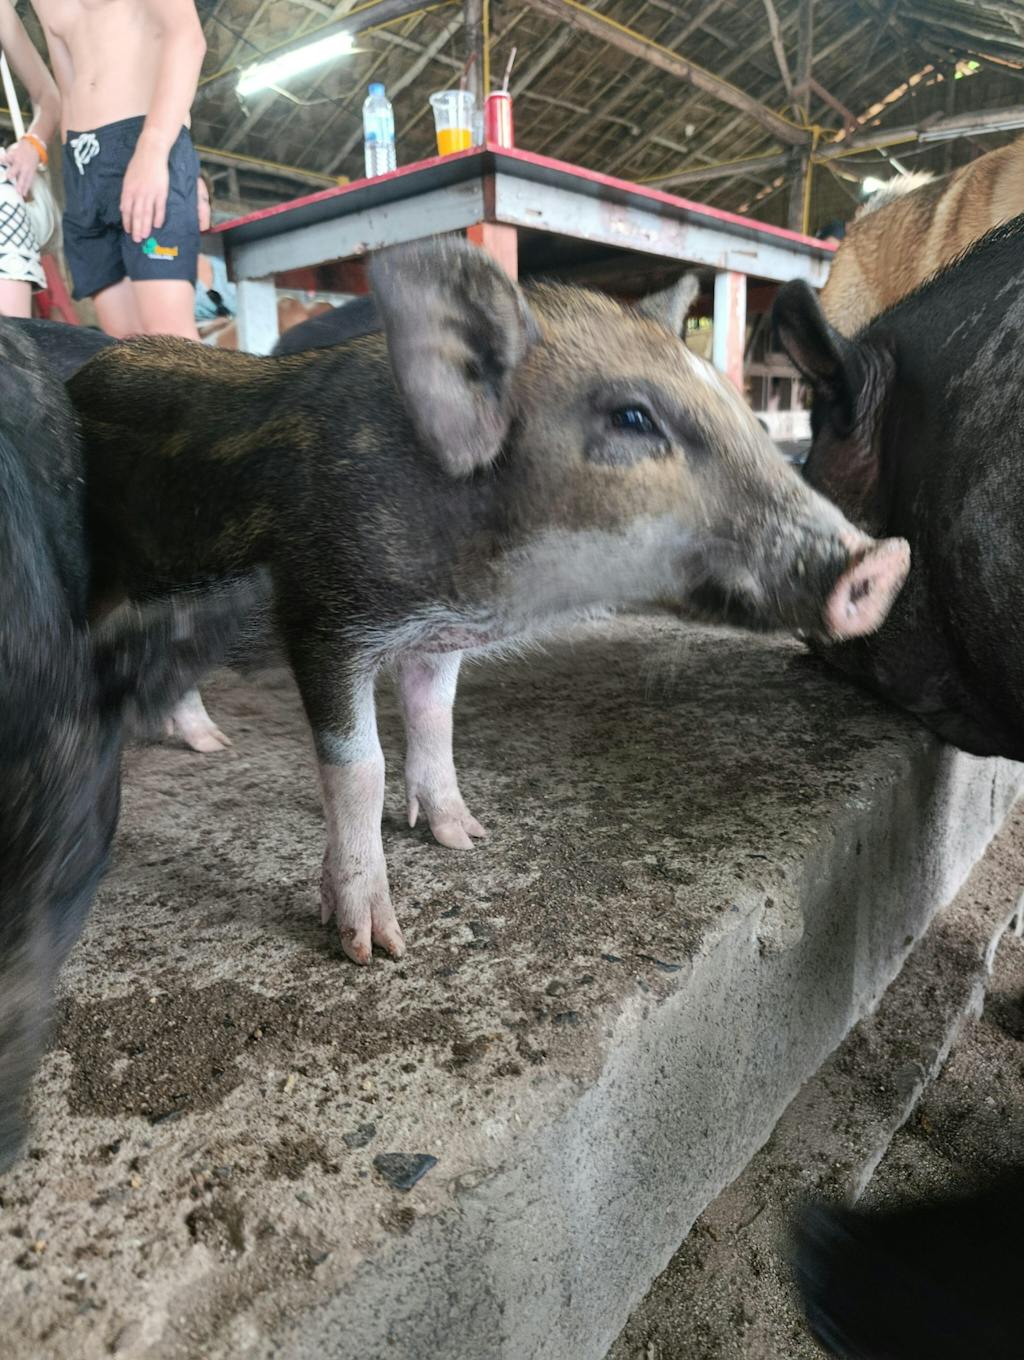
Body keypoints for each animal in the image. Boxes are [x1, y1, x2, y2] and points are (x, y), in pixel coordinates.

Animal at [47, 237, 908, 966]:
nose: (884, 560)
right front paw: (374, 948)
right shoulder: (319, 619)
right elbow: (360, 767)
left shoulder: (434, 639)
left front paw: (467, 839)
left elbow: (437, 721)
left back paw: (209, 745)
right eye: (633, 417)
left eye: (737, 403)